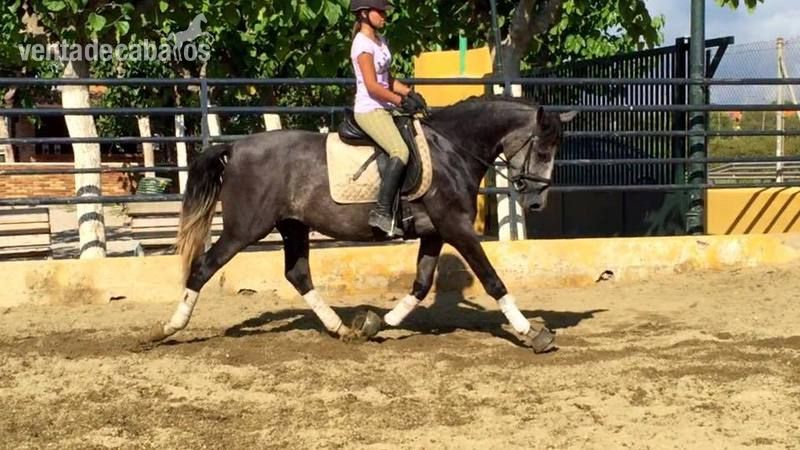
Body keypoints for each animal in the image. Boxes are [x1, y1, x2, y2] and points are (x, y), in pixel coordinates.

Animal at [143, 95, 576, 353]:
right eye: (542, 149)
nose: (535, 202)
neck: (451, 149)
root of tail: (235, 147)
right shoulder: (456, 228)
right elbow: (492, 279)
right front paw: (533, 333)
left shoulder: (435, 232)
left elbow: (421, 285)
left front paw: (375, 324)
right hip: (244, 229)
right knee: (203, 267)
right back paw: (165, 329)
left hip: (293, 226)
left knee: (297, 274)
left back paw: (341, 329)